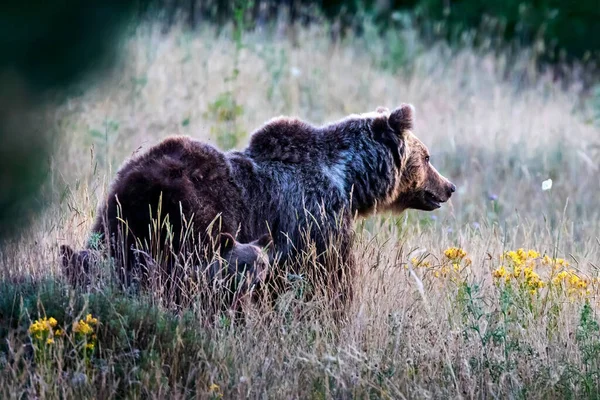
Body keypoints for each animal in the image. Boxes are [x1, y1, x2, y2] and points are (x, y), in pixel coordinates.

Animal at [62, 104, 454, 316]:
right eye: (428, 157)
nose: (448, 187)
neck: (349, 179)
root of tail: (143, 180)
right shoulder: (316, 219)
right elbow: (328, 281)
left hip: (117, 211)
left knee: (99, 256)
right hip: (192, 218)